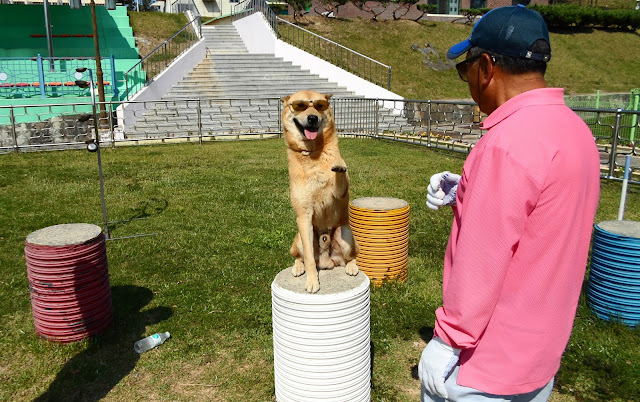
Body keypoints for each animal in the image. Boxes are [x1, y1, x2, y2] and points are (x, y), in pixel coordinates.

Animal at [281, 90, 359, 293]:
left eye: (319, 105)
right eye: (299, 105)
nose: (312, 118)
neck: (313, 153)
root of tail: (326, 261)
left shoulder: (340, 193)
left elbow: (339, 174)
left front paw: (339, 164)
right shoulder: (304, 216)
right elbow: (308, 258)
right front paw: (312, 281)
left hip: (345, 232)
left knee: (350, 257)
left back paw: (352, 266)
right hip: (300, 237)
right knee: (300, 257)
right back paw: (298, 267)